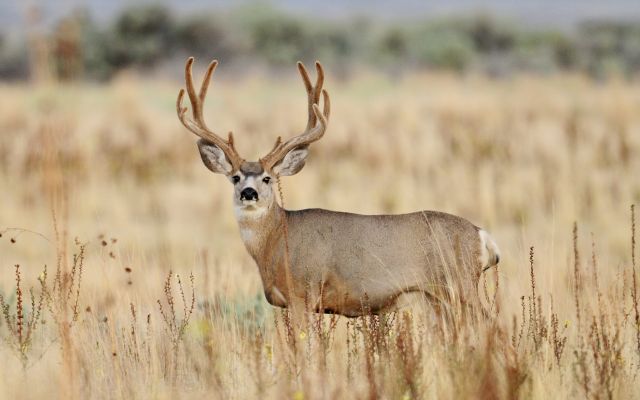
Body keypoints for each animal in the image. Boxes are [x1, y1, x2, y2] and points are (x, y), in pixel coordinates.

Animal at [176, 57, 500, 319]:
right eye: (235, 177)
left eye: (267, 178)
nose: (249, 193)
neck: (277, 240)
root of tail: (481, 236)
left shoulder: (303, 293)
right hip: (436, 299)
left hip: (460, 284)